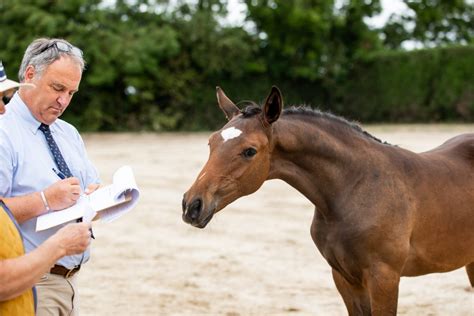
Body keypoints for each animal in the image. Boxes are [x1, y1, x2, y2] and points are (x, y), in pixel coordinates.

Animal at [181, 86, 474, 314]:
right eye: (210, 143)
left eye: (249, 151)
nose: (192, 205)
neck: (357, 186)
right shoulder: (345, 278)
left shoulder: (384, 278)